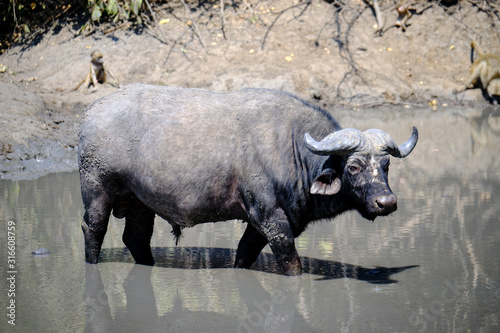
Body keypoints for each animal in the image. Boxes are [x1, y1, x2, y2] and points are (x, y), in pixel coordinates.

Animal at [80, 83, 418, 274]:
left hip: (139, 202)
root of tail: (90, 114)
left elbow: (243, 256)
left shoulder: (260, 225)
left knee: (136, 238)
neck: (291, 148)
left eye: (386, 165)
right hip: (97, 191)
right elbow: (292, 265)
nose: (386, 202)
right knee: (93, 229)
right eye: (354, 167)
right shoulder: (272, 220)